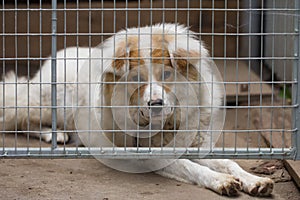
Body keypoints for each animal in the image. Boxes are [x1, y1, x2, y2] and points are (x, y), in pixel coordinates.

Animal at [0, 23, 274, 195]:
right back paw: (52, 134)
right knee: (18, 118)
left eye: (166, 74)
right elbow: (192, 167)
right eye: (136, 78)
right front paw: (221, 181)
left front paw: (255, 181)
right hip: (48, 103)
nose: (156, 105)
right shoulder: (150, 155)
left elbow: (229, 162)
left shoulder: (196, 145)